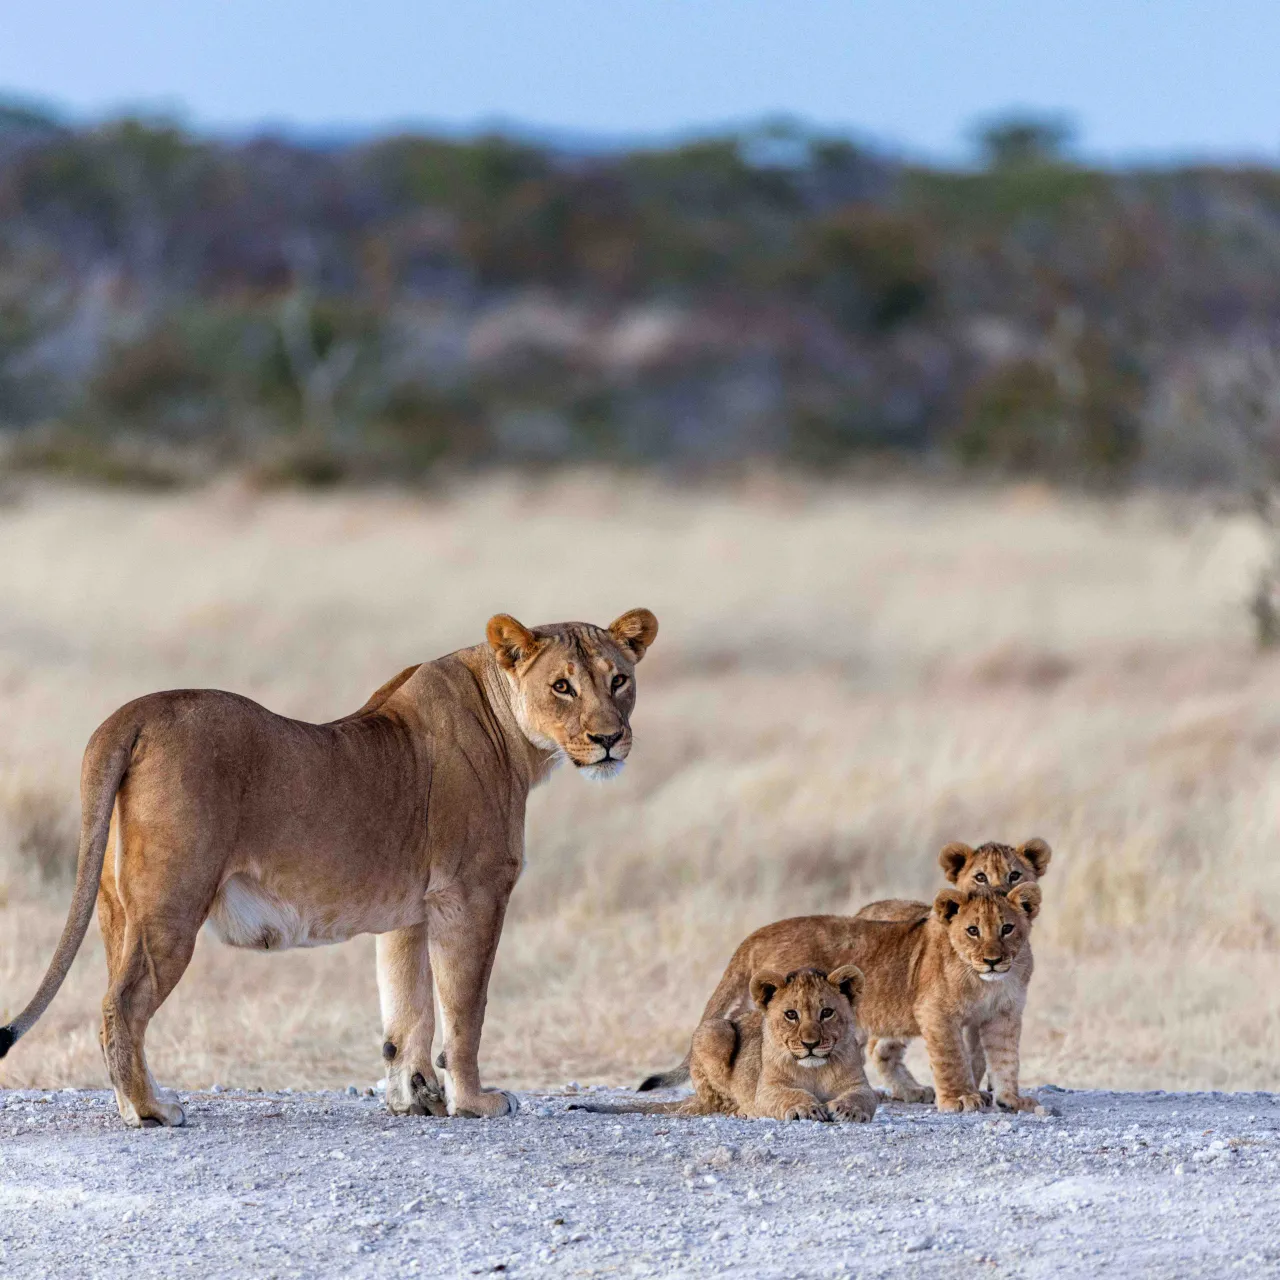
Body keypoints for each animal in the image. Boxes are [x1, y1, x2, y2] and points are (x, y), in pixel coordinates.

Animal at [0, 609, 657, 1129]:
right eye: (562, 686)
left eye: (619, 680)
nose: (610, 738)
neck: (512, 734)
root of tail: (132, 712)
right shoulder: (473, 894)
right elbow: (464, 1008)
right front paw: (475, 1102)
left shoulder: (412, 911)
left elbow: (408, 1009)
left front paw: (414, 1099)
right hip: (172, 905)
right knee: (122, 1004)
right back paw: (150, 1110)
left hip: (117, 908)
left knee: (116, 999)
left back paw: (138, 1099)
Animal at [575, 966, 878, 1122]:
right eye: (791, 1014)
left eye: (826, 1012)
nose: (810, 1043)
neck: (814, 1068)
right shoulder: (766, 1089)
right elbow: (789, 1095)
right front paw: (806, 1108)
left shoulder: (858, 1084)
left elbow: (863, 1097)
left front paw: (848, 1110)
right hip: (714, 1029)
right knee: (715, 1101)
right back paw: (740, 1111)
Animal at [639, 884, 1042, 1113]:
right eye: (973, 930)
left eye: (1007, 928)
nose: (992, 959)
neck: (987, 982)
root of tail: (757, 934)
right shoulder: (936, 1012)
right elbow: (952, 1059)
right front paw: (960, 1099)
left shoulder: (1005, 1014)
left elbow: (1005, 1059)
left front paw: (1012, 1100)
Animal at [855, 838, 1051, 1102]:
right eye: (980, 877)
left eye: (1014, 875)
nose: (997, 894)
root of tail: (866, 908)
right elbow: (961, 1056)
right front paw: (967, 1094)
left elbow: (980, 1056)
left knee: (880, 1048)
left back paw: (911, 1090)